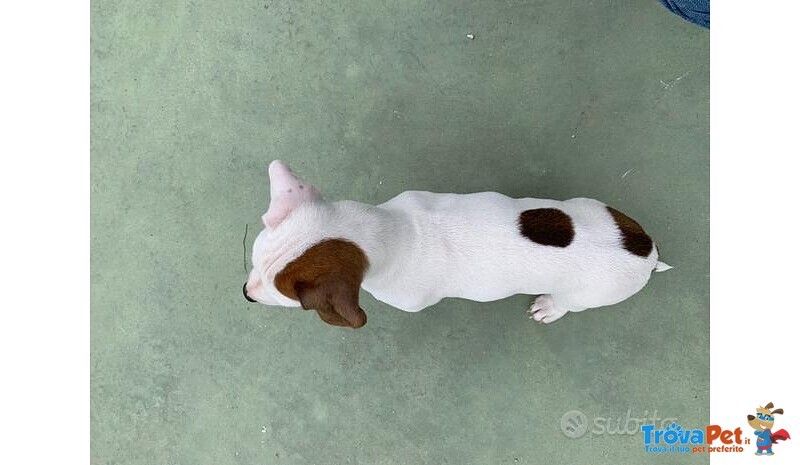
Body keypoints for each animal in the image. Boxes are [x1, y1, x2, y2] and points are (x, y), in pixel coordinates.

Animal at [242, 161, 668, 328]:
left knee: (569, 304)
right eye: (253, 261)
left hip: (586, 294)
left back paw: (548, 308)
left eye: (286, 299)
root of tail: (648, 254)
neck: (389, 230)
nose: (245, 293)